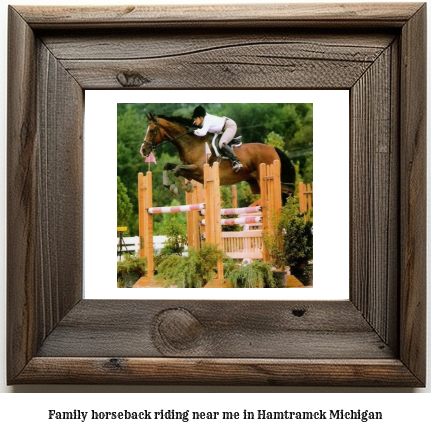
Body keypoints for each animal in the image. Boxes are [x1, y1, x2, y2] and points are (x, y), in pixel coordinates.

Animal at [140, 115, 296, 202]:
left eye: (152, 131)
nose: (143, 150)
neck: (192, 144)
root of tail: (273, 148)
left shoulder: (199, 170)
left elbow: (177, 169)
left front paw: (184, 187)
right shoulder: (190, 170)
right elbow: (168, 166)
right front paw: (171, 186)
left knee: (288, 190)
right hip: (256, 184)